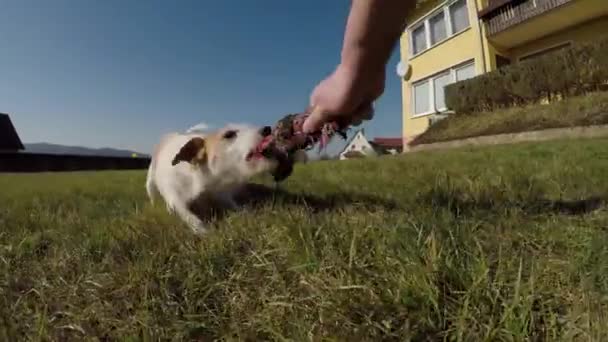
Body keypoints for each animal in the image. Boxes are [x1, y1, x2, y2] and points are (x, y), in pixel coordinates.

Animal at [146, 124, 280, 234]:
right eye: (229, 134)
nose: (267, 129)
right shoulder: (175, 197)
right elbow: (188, 215)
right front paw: (205, 231)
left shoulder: (222, 194)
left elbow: (236, 206)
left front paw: (249, 213)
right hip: (150, 181)